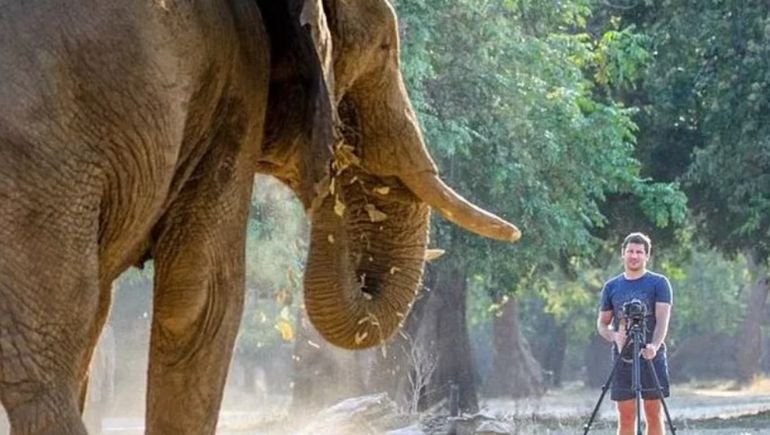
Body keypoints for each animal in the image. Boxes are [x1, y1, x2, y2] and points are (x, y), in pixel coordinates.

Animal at [0, 0, 520, 433]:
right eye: (386, 46)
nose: (333, 163)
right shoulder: (238, 78)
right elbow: (203, 296)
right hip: (40, 164)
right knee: (45, 359)